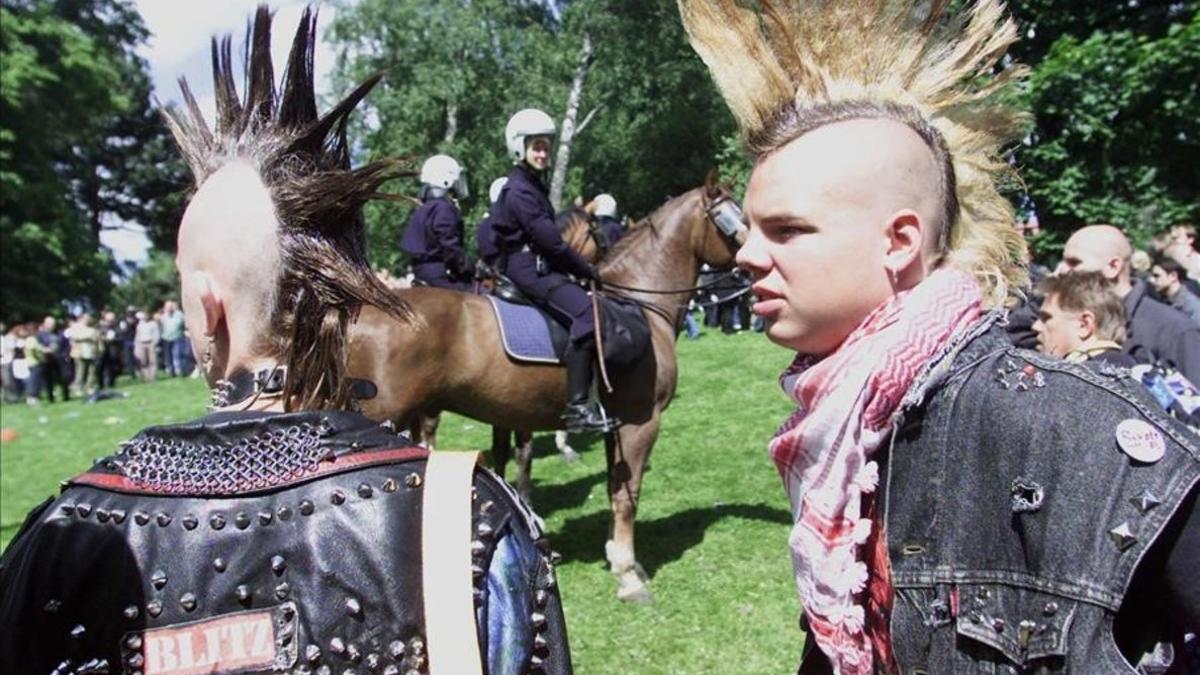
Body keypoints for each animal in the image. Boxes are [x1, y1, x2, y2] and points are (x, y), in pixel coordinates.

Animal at [343, 177, 744, 598]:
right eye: (730, 218)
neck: (636, 305)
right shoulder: (640, 423)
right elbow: (627, 495)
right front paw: (627, 572)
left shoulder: (611, 426)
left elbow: (609, 486)